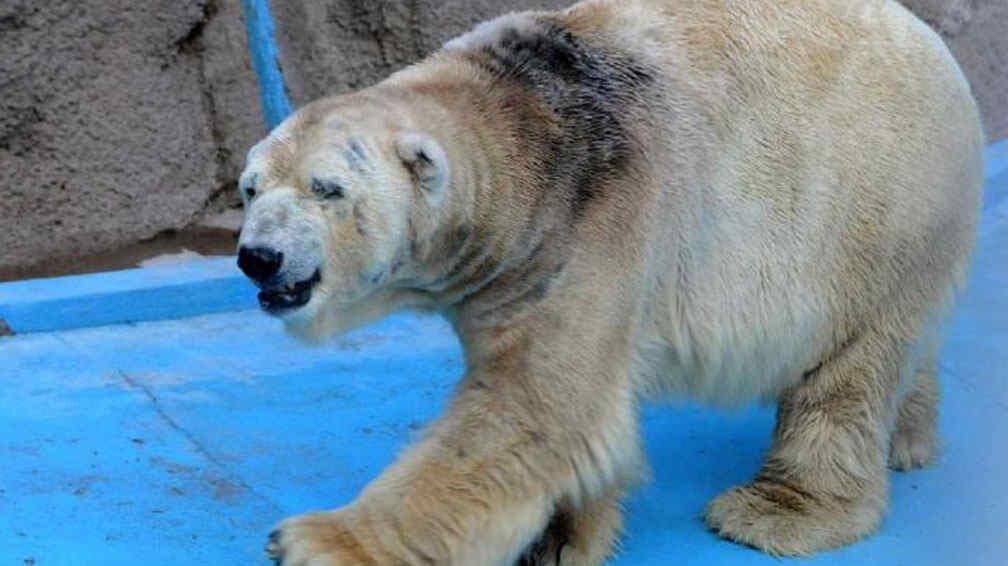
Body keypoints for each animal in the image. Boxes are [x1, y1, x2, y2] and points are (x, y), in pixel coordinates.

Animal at [237, 0, 983, 559]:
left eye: (326, 188)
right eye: (250, 188)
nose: (257, 257)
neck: (528, 127)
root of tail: (939, 52)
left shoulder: (595, 224)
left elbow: (533, 410)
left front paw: (317, 540)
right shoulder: (516, 265)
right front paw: (564, 540)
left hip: (880, 214)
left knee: (849, 369)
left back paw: (778, 511)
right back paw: (910, 440)